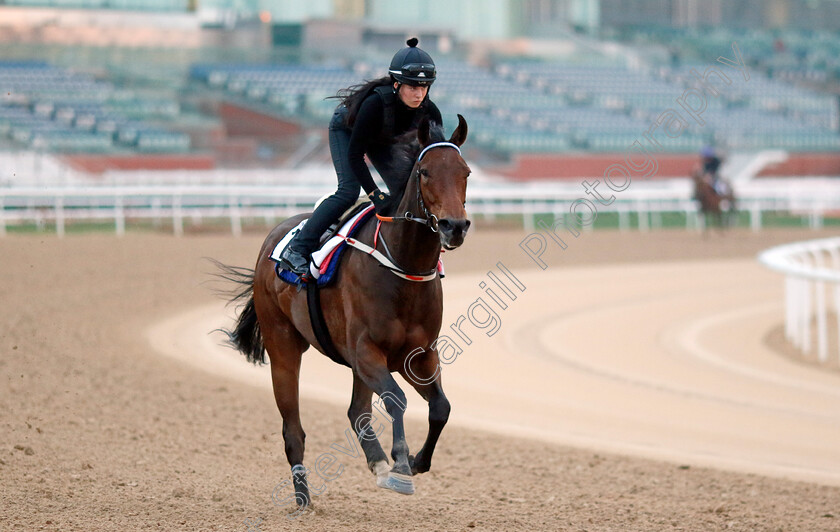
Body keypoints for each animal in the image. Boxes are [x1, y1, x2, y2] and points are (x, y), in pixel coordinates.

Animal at [220, 115, 470, 512]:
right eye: (425, 172)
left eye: (466, 172)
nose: (454, 226)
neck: (403, 268)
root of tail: (271, 240)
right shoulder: (367, 351)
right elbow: (396, 400)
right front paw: (401, 465)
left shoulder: (419, 356)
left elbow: (440, 408)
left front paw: (415, 461)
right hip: (283, 346)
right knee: (293, 429)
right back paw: (303, 498)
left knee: (357, 412)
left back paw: (377, 463)